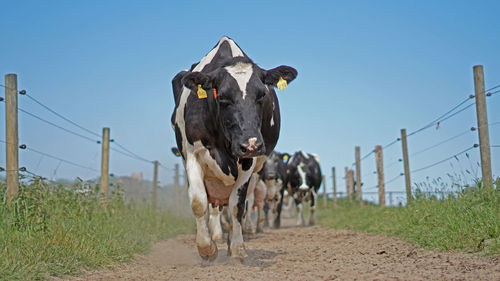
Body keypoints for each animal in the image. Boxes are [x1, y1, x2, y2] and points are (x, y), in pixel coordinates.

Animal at [172, 36, 296, 260]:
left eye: (262, 95)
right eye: (222, 97)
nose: (250, 144)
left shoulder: (249, 162)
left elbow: (237, 206)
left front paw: (237, 248)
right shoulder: (193, 154)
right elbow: (198, 202)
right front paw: (207, 248)